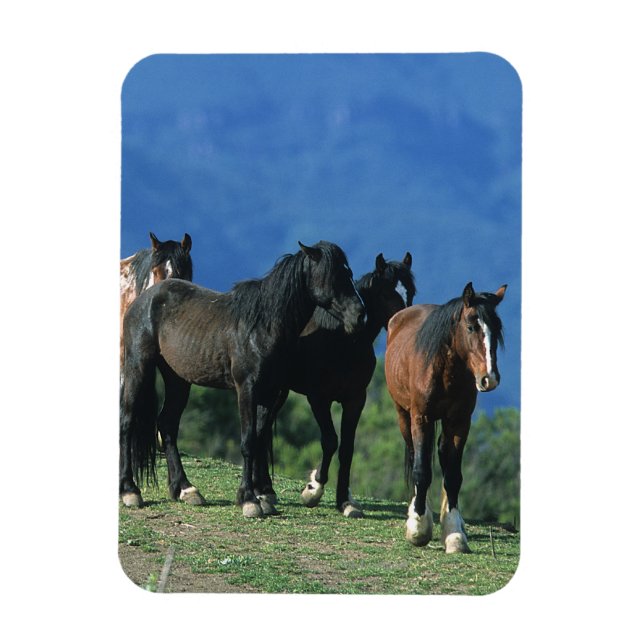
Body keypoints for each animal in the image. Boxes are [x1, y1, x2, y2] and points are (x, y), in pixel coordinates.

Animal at [277, 252, 415, 518]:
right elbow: (330, 440)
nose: (406, 327)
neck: (342, 341)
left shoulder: (355, 400)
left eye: (411, 292)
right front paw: (313, 489)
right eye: (386, 293)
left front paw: (344, 501)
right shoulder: (318, 398)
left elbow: (347, 448)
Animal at [384, 282, 507, 552]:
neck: (445, 372)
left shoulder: (460, 422)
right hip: (403, 416)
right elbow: (421, 470)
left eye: (497, 329)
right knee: (414, 455)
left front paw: (454, 533)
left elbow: (452, 476)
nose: (489, 378)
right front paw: (418, 527)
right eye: (471, 326)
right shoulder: (421, 418)